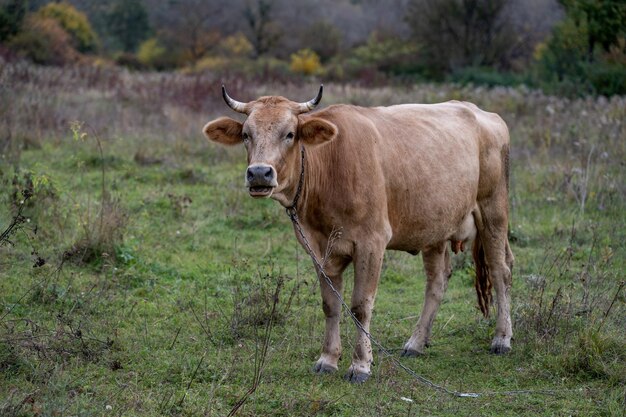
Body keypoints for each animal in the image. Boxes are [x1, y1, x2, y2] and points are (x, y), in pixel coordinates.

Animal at [202, 85, 516, 384]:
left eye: (290, 134)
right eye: (246, 134)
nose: (259, 173)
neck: (330, 166)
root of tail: (482, 113)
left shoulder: (371, 242)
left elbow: (360, 306)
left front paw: (361, 365)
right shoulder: (320, 250)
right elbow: (330, 305)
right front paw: (328, 359)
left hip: (493, 212)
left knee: (500, 270)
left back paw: (502, 338)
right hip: (435, 227)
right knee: (437, 282)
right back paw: (416, 342)